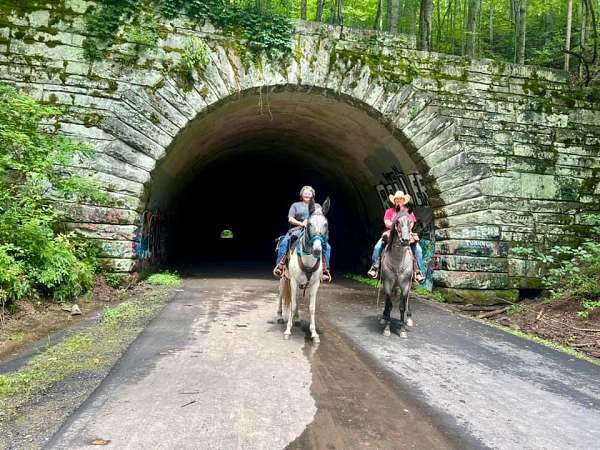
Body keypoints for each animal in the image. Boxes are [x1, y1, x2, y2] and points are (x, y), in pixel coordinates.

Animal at [278, 199, 330, 342]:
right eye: (309, 224)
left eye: (326, 224)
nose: (317, 249)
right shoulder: (293, 281)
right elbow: (293, 304)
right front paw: (287, 331)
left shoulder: (315, 284)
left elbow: (311, 308)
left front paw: (314, 333)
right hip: (284, 279)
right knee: (281, 296)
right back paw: (280, 316)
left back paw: (296, 319)